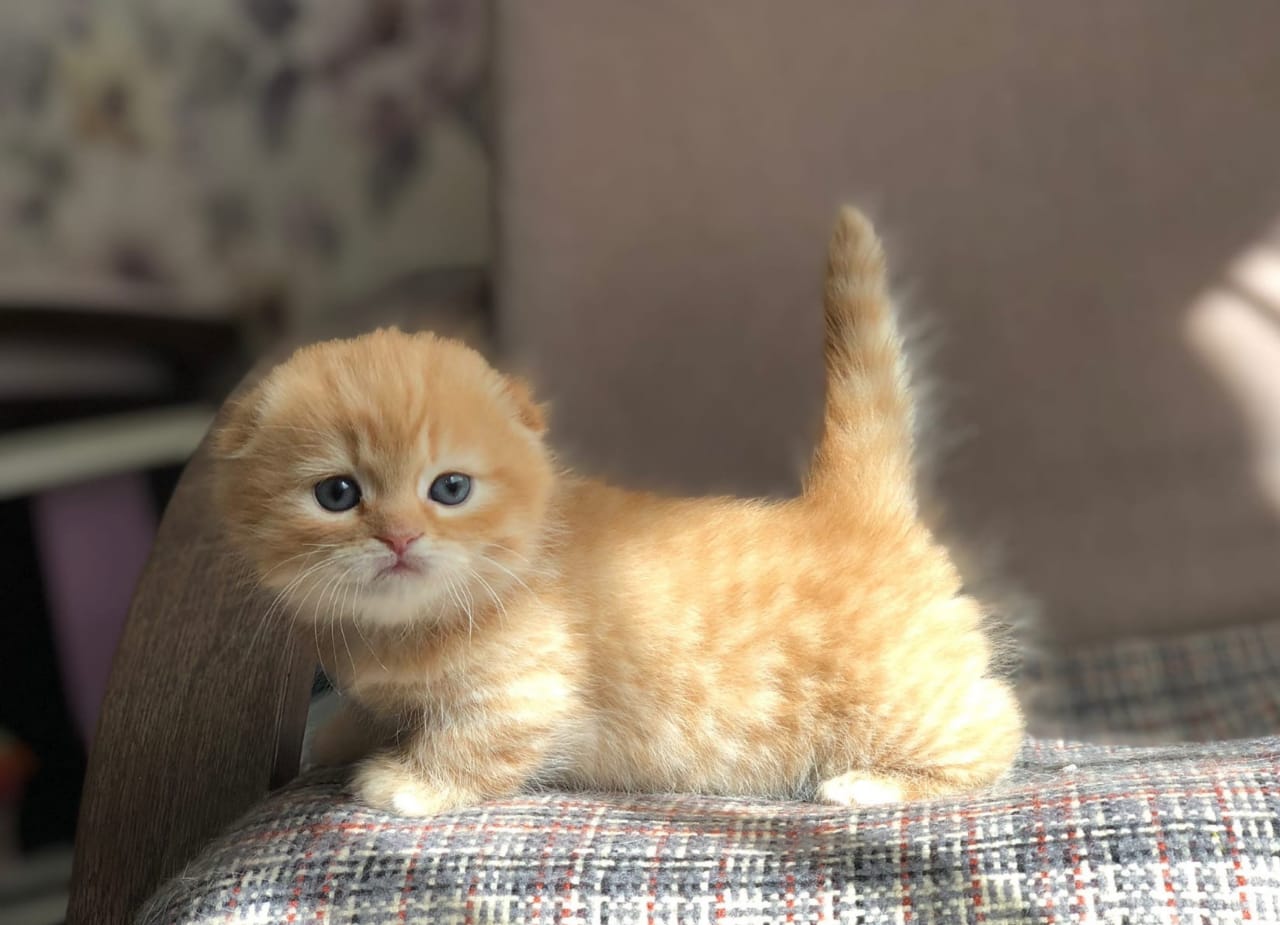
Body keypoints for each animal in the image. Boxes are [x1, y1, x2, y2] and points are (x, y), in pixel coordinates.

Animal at [214, 207, 1024, 815]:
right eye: (338, 494)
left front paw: (409, 783)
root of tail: (850, 505)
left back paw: (869, 786)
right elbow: (372, 712)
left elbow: (473, 744)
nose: (400, 538)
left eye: (449, 489)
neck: (403, 629)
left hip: (899, 700)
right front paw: (338, 739)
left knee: (1000, 722)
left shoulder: (526, 690)